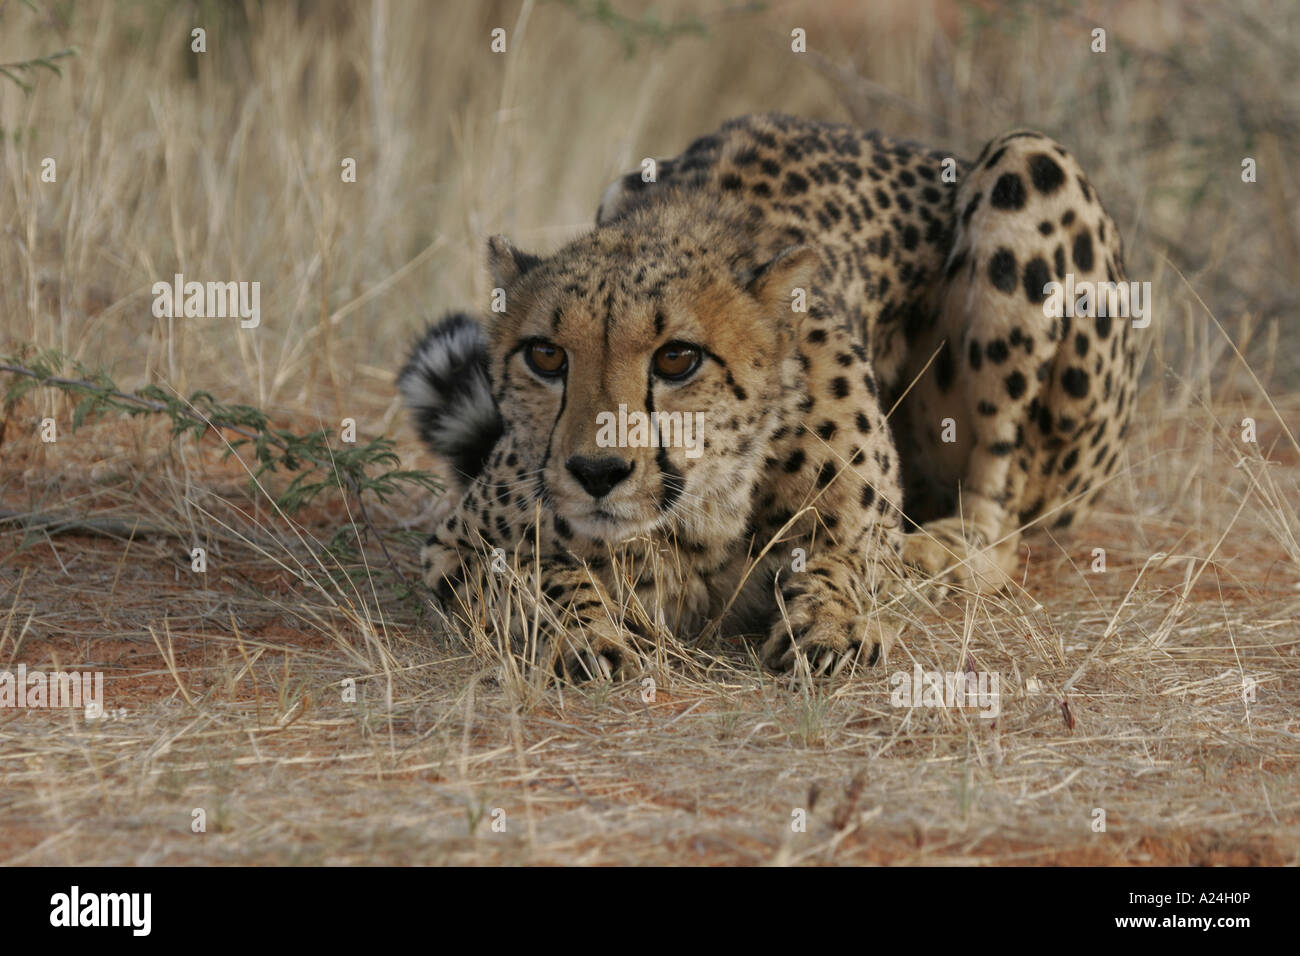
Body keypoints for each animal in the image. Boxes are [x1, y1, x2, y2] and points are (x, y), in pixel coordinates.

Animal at [397, 113, 1138, 681]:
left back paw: (942, 551)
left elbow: (847, 564)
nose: (597, 472)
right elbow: (542, 578)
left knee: (997, 517)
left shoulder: (860, 537)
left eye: (677, 358)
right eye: (546, 356)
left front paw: (832, 623)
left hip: (1030, 161)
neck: (697, 514)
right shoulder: (457, 547)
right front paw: (589, 634)